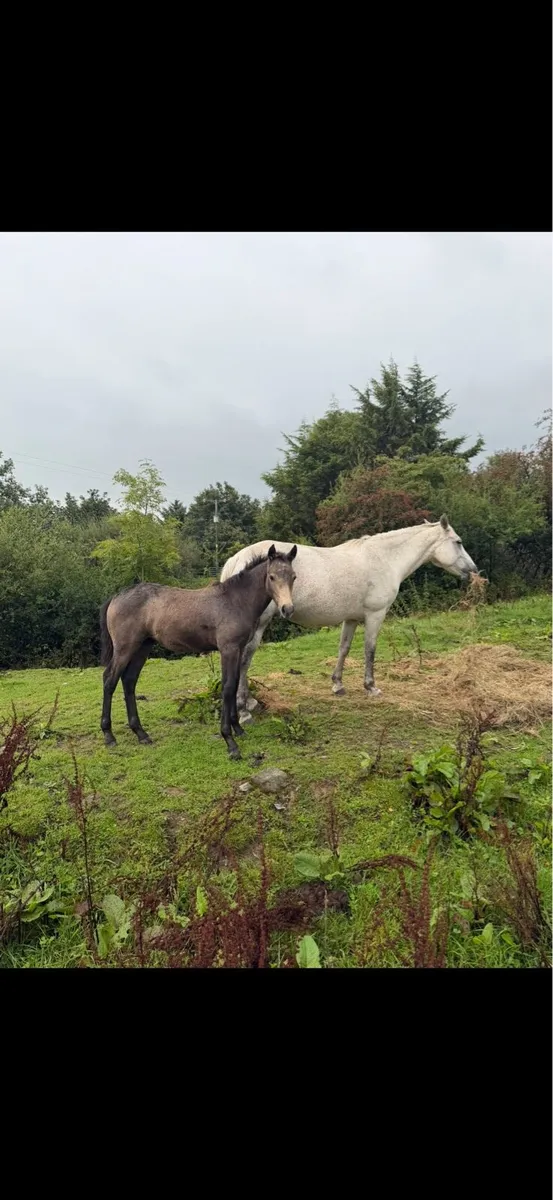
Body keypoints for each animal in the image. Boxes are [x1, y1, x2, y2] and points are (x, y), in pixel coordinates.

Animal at [99, 544, 297, 759]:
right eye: (272, 576)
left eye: (293, 577)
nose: (287, 609)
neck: (236, 601)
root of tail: (116, 597)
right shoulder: (228, 649)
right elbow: (228, 688)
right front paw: (230, 741)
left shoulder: (238, 649)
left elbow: (235, 683)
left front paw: (238, 729)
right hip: (125, 647)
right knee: (109, 680)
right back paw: (109, 735)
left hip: (143, 646)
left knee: (129, 681)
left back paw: (141, 733)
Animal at [220, 516, 478, 723]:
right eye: (458, 542)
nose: (474, 570)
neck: (385, 559)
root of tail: (237, 559)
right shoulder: (375, 615)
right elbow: (370, 649)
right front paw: (371, 687)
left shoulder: (352, 619)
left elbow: (344, 648)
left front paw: (338, 684)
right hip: (258, 625)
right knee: (245, 658)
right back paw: (244, 709)